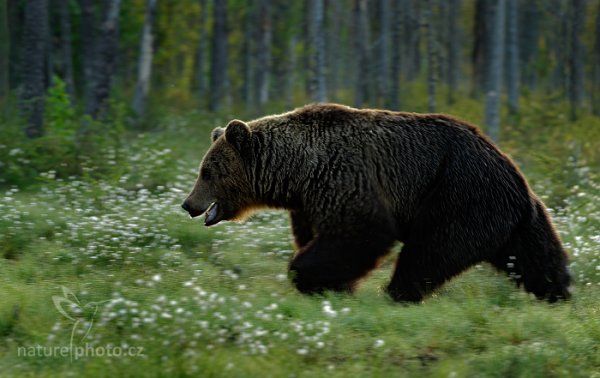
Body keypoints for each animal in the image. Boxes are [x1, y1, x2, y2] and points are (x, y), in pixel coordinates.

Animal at [182, 104, 572, 304]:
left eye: (207, 171)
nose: (188, 204)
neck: (296, 171)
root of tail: (512, 172)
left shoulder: (345, 175)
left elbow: (360, 232)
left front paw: (309, 276)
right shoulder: (309, 201)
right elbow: (319, 236)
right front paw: (334, 284)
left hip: (457, 195)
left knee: (430, 250)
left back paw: (398, 291)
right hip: (514, 217)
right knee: (537, 255)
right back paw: (558, 292)